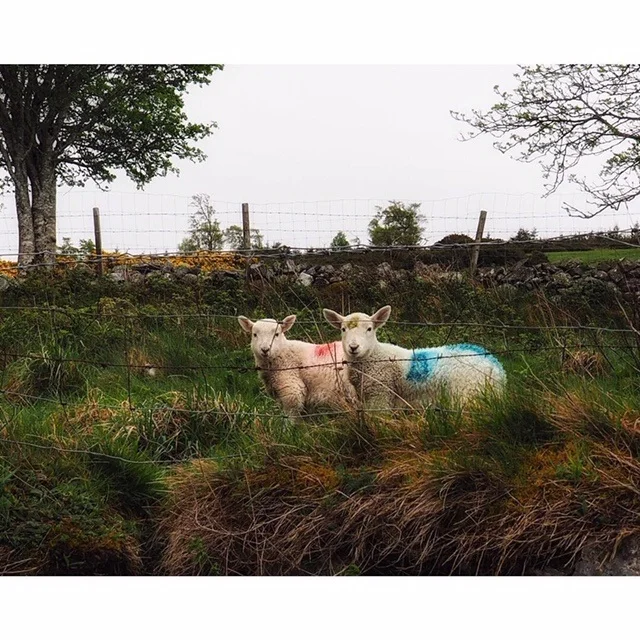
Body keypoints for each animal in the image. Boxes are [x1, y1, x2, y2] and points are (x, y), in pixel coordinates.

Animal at [323, 305, 506, 410]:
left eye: (369, 329)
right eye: (343, 329)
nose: (353, 347)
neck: (374, 356)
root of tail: (495, 365)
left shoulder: (380, 394)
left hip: (469, 392)